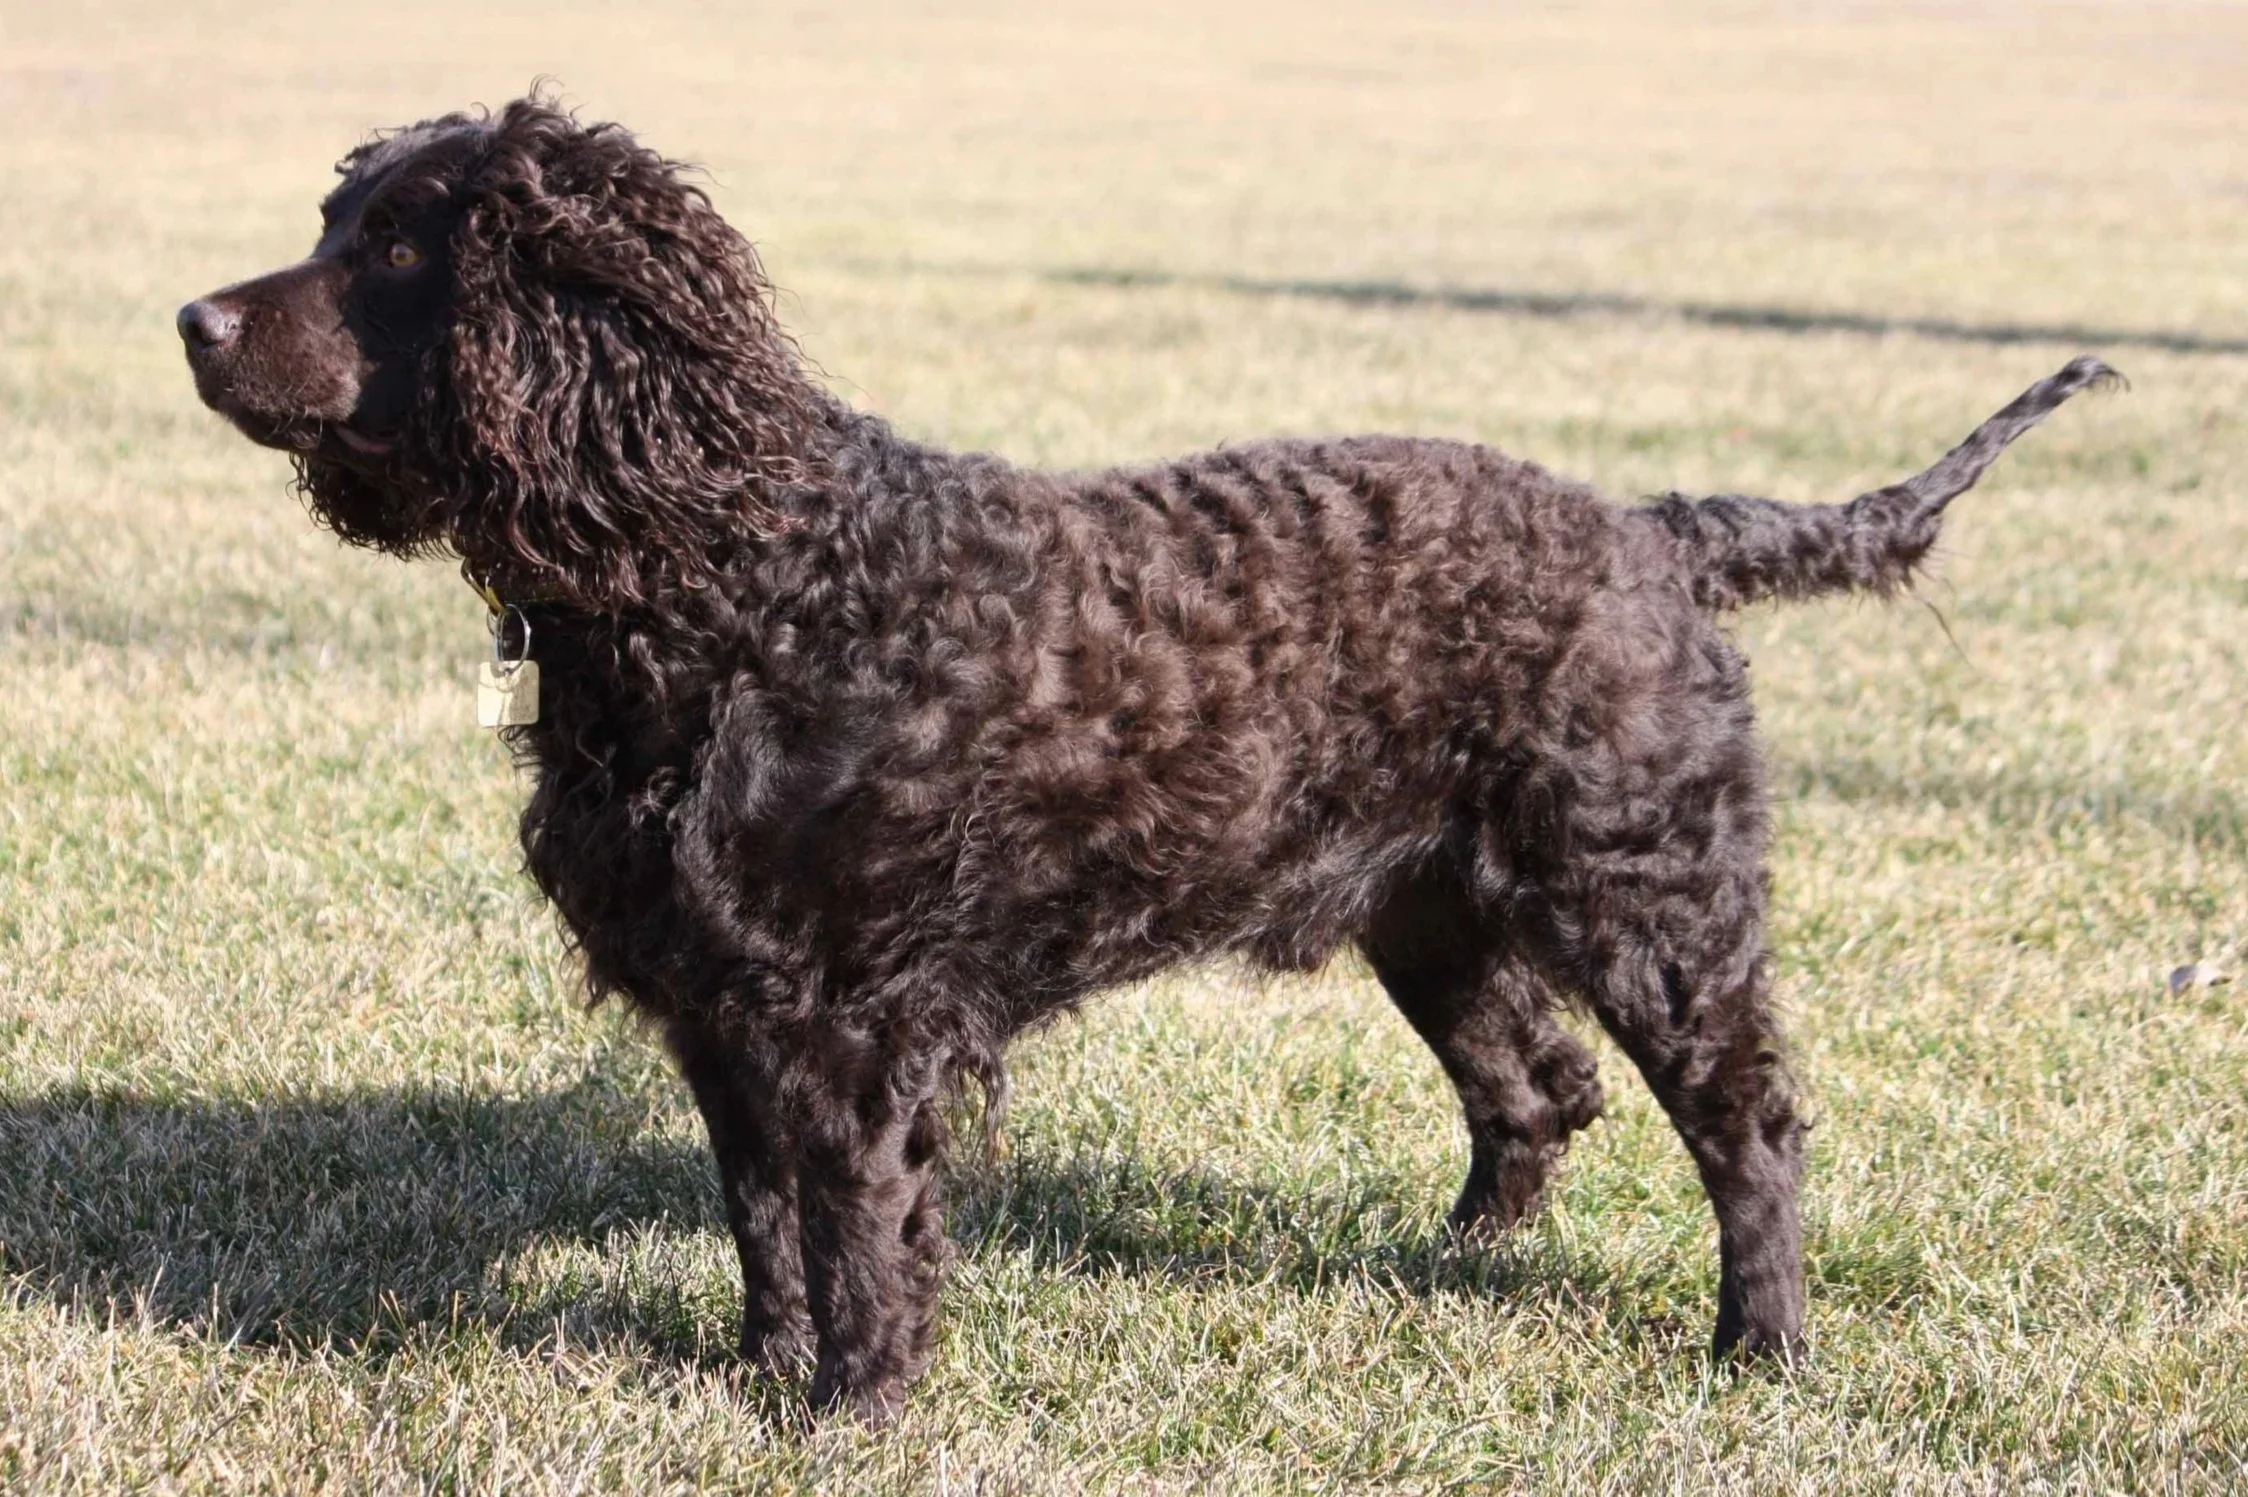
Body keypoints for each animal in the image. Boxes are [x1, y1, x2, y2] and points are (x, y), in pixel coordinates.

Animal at [178, 96, 2114, 1423]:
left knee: (1746, 1121)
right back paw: (1445, 1270)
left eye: (402, 248)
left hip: (1650, 896)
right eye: (335, 218)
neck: (743, 587)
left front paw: (855, 1411)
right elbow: (761, 1224)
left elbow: (858, 1226)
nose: (191, 319)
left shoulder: (858, 1020)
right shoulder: (723, 1010)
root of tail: (1654, 533)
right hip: (1431, 914)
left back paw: (1759, 1344)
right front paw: (761, 1379)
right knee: (1537, 1092)